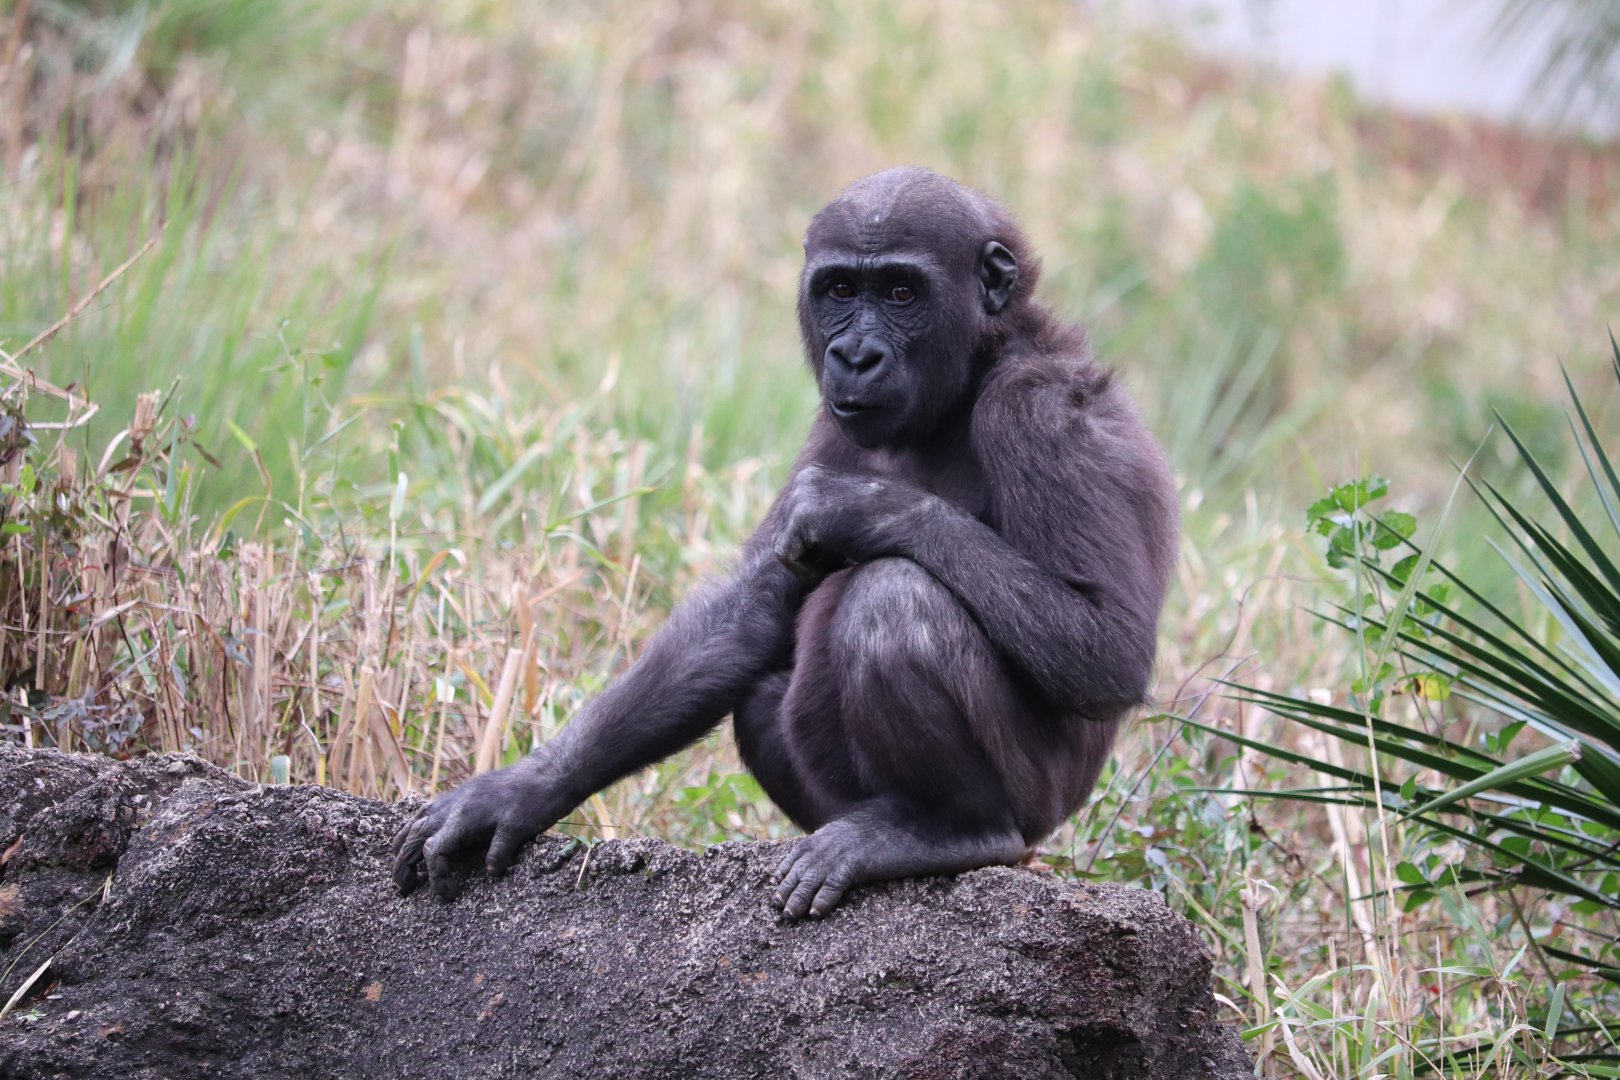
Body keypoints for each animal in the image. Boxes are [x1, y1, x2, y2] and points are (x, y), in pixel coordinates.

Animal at [392, 167, 1178, 919]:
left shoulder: (1042, 410)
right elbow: (748, 614)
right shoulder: (831, 423)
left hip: (1041, 809)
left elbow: (1103, 645)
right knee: (767, 688)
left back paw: (950, 829)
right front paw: (523, 788)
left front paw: (855, 508)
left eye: (902, 292)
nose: (854, 355)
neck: (979, 362)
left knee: (895, 600)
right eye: (840, 289)